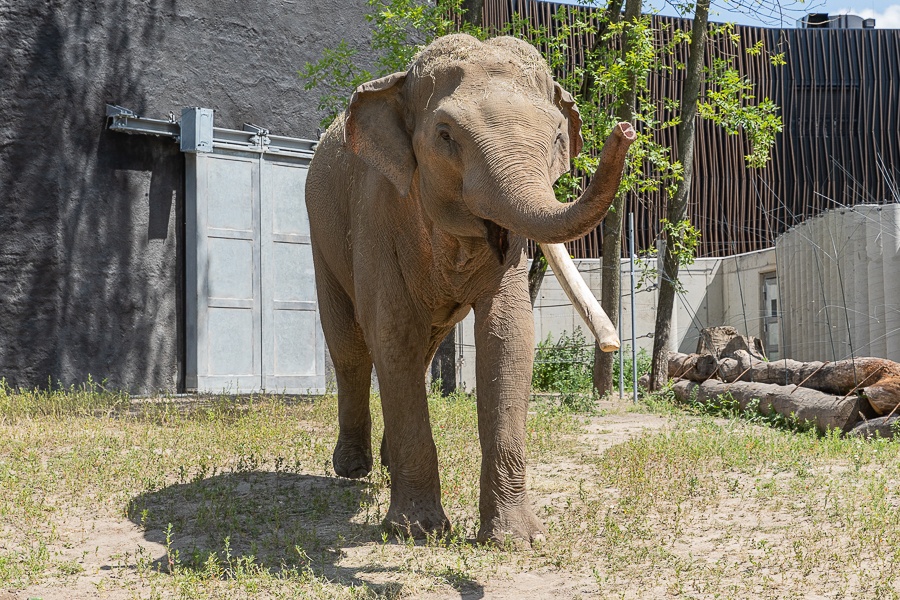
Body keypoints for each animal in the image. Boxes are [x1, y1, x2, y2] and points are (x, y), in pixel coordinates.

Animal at [306, 34, 636, 548]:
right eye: (445, 135)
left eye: (556, 139)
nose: (625, 130)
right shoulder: (376, 213)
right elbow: (392, 332)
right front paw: (416, 532)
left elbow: (509, 336)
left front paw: (516, 540)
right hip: (321, 235)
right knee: (351, 348)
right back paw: (354, 469)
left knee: (422, 347)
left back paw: (385, 464)